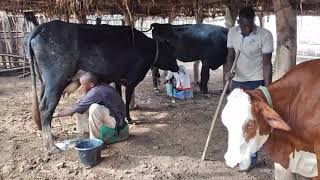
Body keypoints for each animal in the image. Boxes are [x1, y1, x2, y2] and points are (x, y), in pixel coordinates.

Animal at [26, 20, 179, 152]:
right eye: (171, 52)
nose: (177, 67)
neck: (148, 49)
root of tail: (43, 26)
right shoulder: (131, 81)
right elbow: (127, 100)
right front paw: (129, 119)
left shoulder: (118, 80)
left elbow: (119, 97)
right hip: (55, 82)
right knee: (46, 108)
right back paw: (51, 146)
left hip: (44, 84)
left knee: (41, 105)